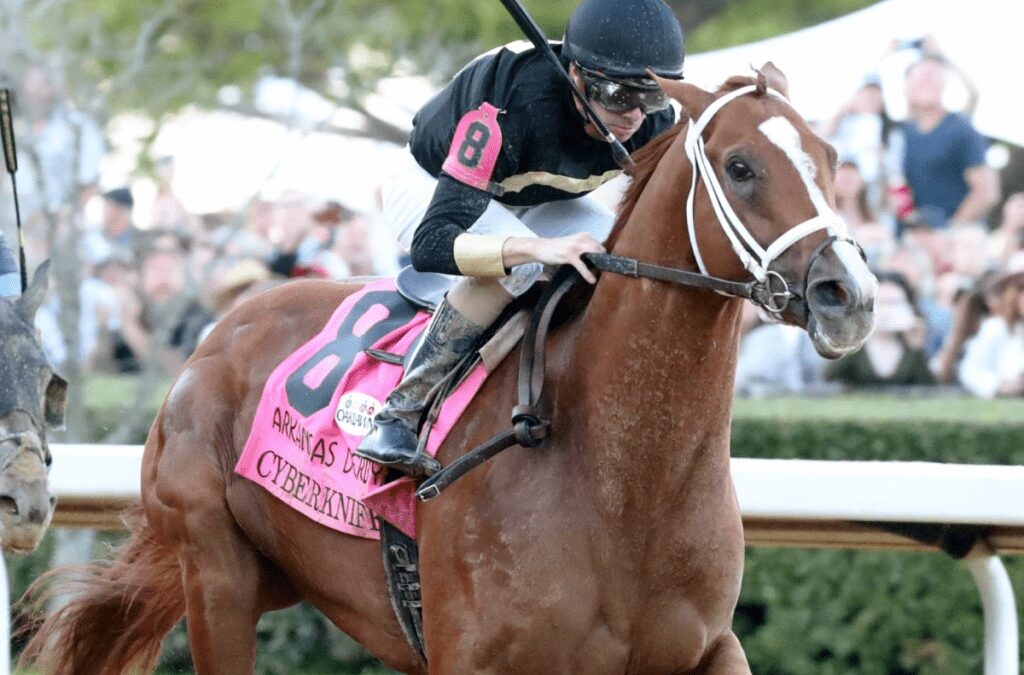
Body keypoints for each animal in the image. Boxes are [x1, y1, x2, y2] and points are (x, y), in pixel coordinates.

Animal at [24, 64, 872, 675]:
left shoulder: (704, 648)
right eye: (740, 166)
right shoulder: (474, 656)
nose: (849, 294)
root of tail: (214, 336)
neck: (626, 478)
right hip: (215, 576)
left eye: (833, 159)